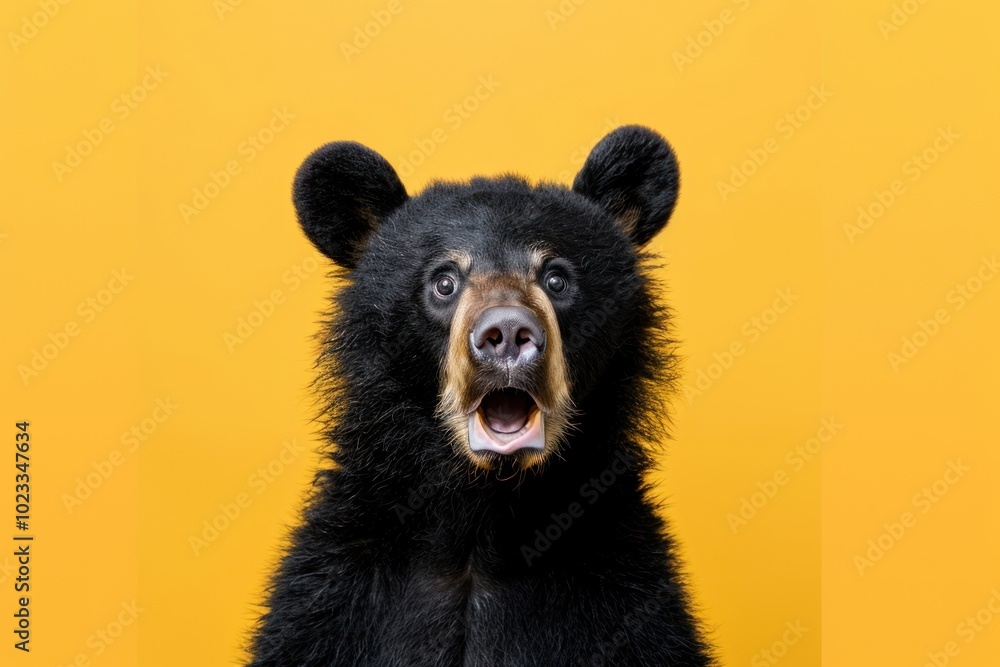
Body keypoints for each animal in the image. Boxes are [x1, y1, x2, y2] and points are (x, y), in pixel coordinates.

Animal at [248, 125, 714, 666]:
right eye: (444, 282)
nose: (508, 334)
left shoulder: (626, 595)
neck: (483, 522)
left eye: (557, 279)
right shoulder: (331, 600)